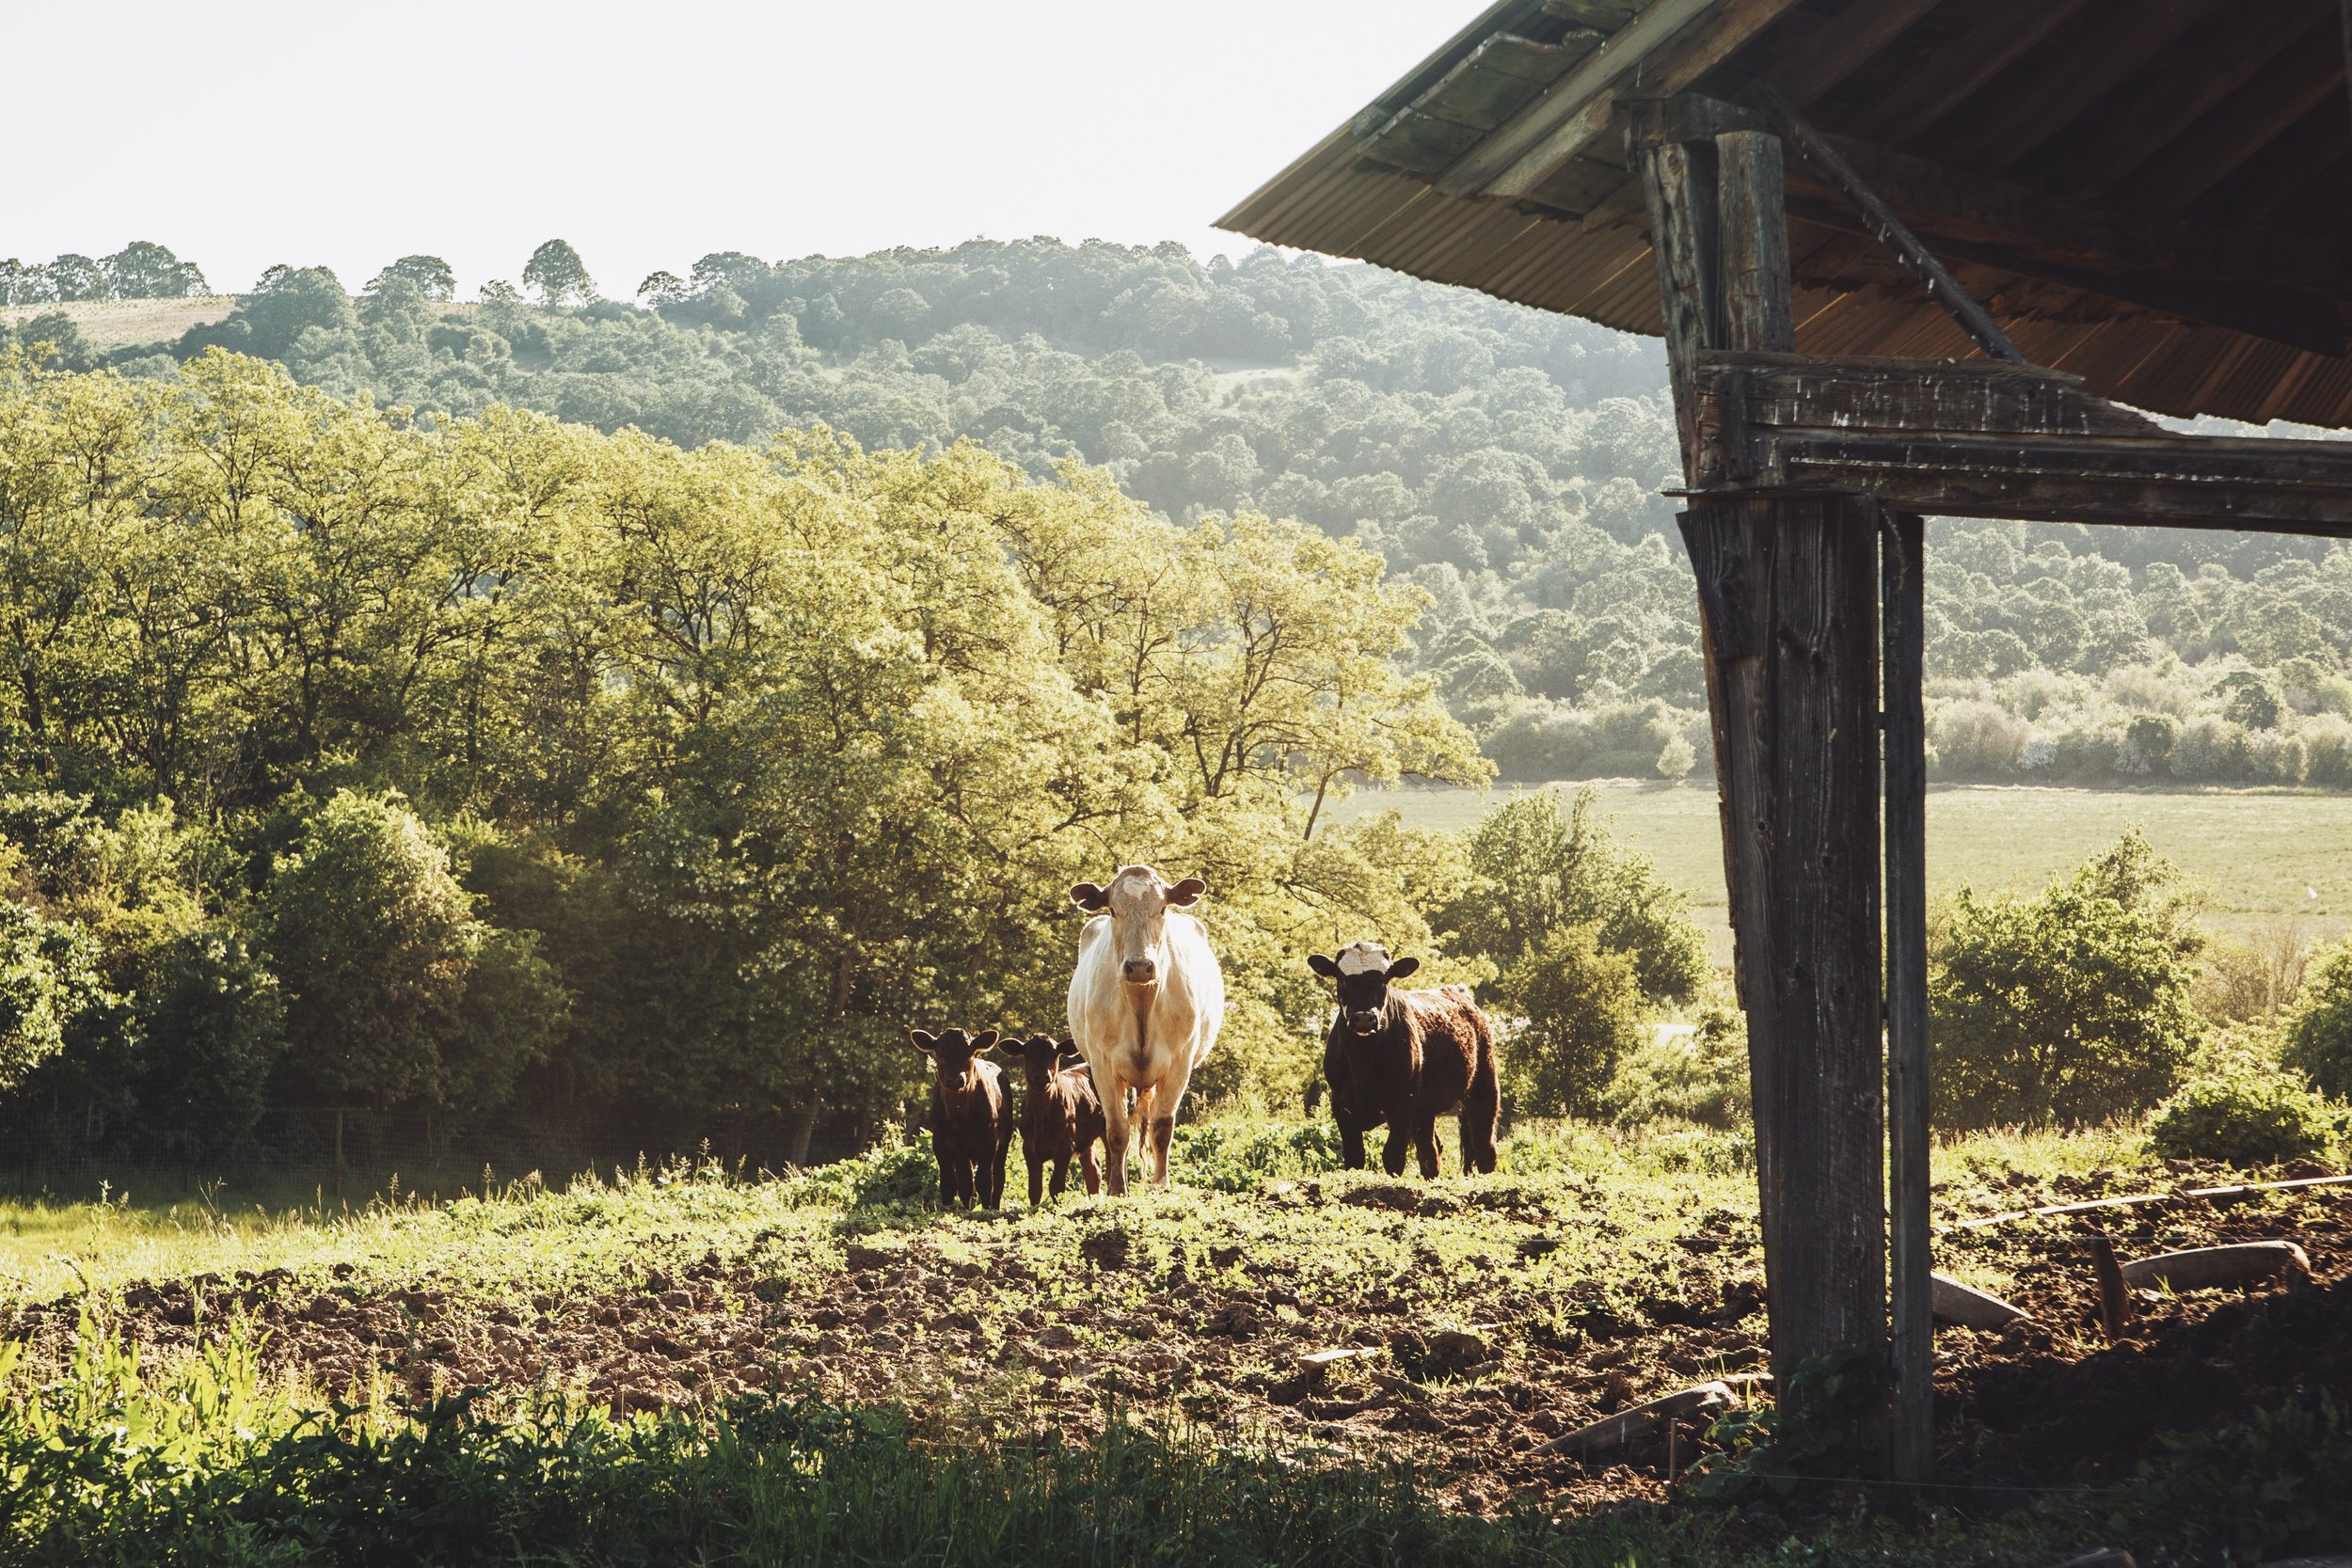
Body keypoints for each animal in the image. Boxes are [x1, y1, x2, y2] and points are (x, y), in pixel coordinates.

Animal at [898, 1029, 1011, 1212]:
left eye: (970, 1053)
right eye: (939, 1054)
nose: (954, 1080)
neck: (960, 1118)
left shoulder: (989, 1141)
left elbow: (985, 1182)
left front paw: (985, 1211)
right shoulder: (941, 1141)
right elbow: (950, 1183)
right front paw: (950, 1209)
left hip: (1004, 1141)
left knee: (998, 1177)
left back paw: (994, 1208)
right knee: (966, 1181)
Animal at [1016, 1034, 1105, 1212]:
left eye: (1054, 1055)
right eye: (1028, 1055)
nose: (1042, 1077)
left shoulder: (1065, 1147)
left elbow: (1056, 1186)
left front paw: (1058, 1210)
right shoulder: (1028, 1148)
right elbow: (1034, 1188)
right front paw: (1034, 1211)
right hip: (1086, 1139)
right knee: (1093, 1170)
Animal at [1058, 869, 1223, 1189]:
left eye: (1162, 909)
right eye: (1112, 910)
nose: (1138, 967)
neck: (1141, 1002)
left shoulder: (1180, 1063)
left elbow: (1162, 1126)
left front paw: (1161, 1183)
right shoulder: (1102, 1064)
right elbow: (1117, 1130)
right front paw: (1116, 1188)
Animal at [1308, 944, 1505, 1175]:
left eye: (1384, 980)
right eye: (1342, 978)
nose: (1364, 1018)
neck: (1363, 1062)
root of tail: (1458, 992)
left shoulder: (1403, 1104)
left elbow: (1393, 1157)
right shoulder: (1341, 1105)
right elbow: (1354, 1157)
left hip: (1484, 1085)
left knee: (1484, 1145)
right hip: (1426, 1109)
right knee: (1430, 1151)